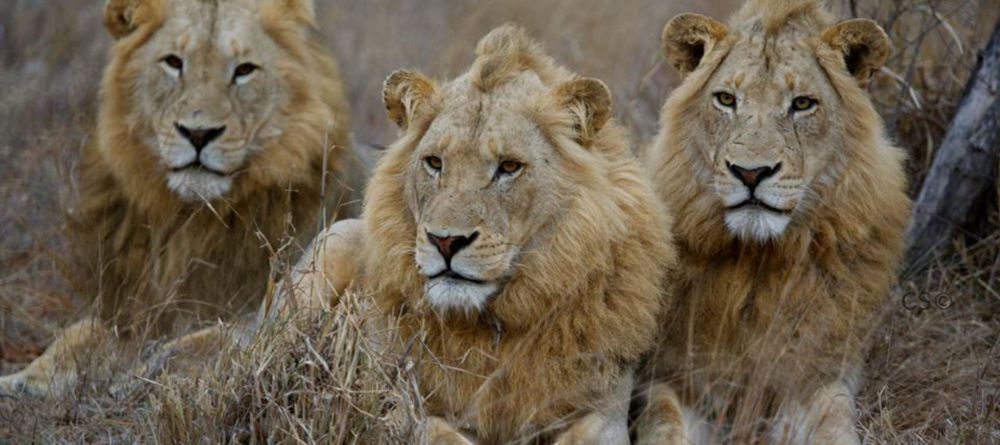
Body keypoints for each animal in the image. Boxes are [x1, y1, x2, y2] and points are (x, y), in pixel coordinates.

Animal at [264, 25, 672, 444]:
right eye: (434, 162)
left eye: (509, 166)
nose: (445, 241)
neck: (493, 329)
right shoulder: (390, 404)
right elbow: (440, 433)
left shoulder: (605, 412)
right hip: (334, 241)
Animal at [636, 1, 912, 442]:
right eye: (726, 99)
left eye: (802, 104)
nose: (751, 173)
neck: (759, 265)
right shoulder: (672, 376)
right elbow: (665, 425)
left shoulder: (819, 376)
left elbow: (836, 427)